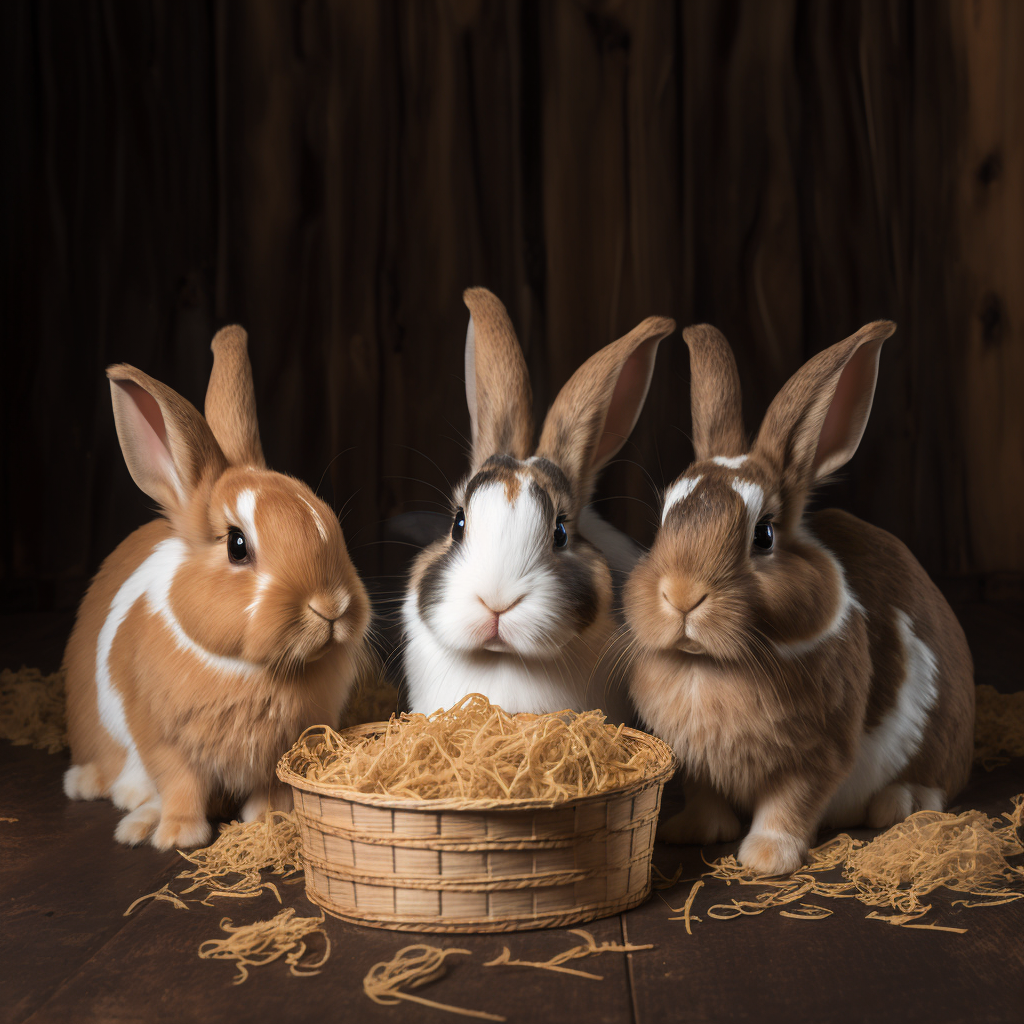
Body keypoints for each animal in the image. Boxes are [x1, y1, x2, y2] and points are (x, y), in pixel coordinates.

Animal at [61, 325, 370, 847]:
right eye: (238, 545)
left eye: (325, 517)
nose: (331, 606)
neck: (248, 669)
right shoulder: (163, 742)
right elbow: (180, 784)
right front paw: (178, 835)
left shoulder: (281, 750)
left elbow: (271, 789)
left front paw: (270, 823)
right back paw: (125, 810)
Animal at [622, 319, 974, 872]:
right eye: (662, 522)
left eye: (764, 535)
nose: (682, 595)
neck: (707, 667)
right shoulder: (696, 763)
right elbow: (705, 797)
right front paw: (691, 832)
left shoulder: (816, 758)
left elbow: (789, 805)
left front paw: (766, 859)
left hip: (937, 739)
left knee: (935, 784)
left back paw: (900, 802)